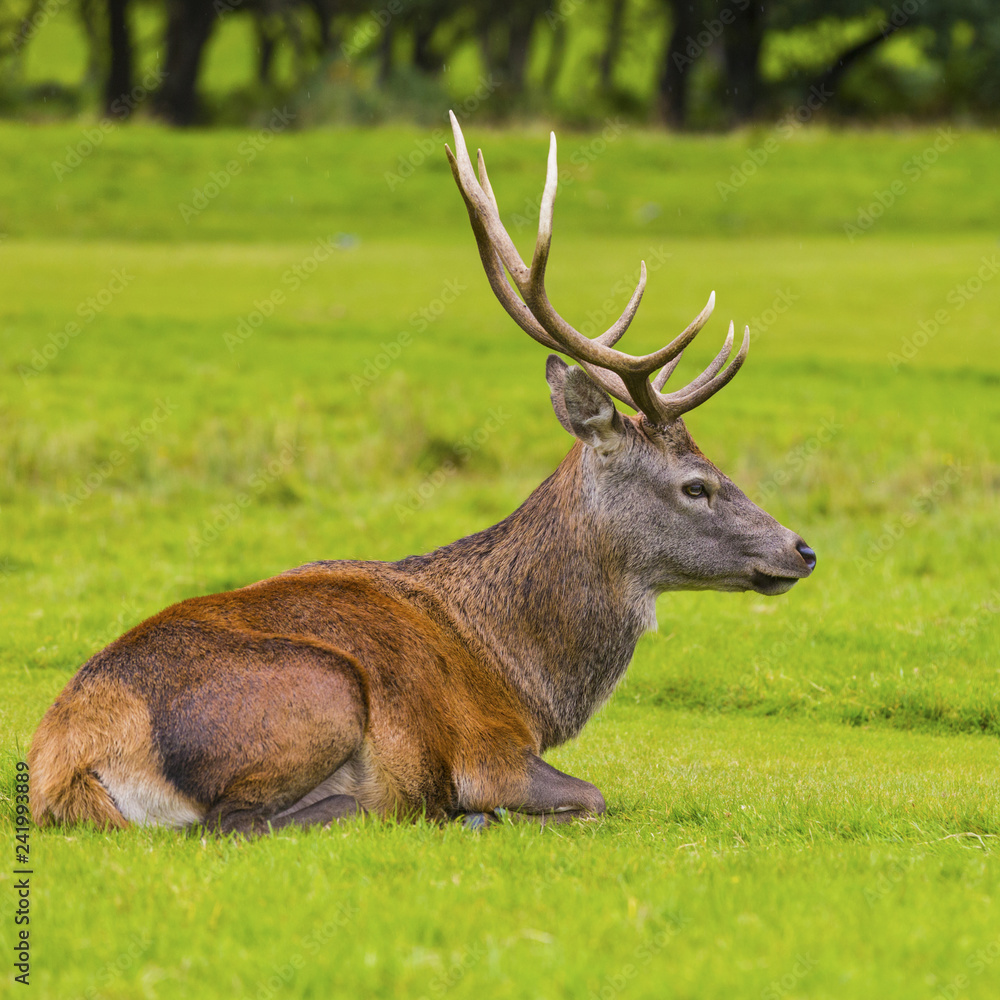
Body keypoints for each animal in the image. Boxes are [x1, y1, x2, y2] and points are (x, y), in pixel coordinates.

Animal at [29, 113, 816, 835]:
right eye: (695, 485)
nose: (802, 549)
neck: (520, 676)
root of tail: (67, 762)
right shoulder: (487, 746)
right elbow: (592, 797)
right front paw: (488, 812)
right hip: (320, 687)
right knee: (240, 821)